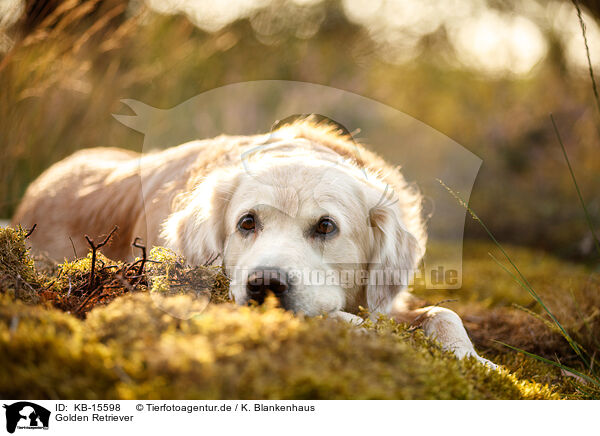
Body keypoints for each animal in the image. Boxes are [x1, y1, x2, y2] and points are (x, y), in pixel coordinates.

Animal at [11, 119, 494, 368]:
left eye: (326, 227)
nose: (265, 285)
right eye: (247, 223)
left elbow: (444, 314)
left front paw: (474, 360)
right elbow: (350, 321)